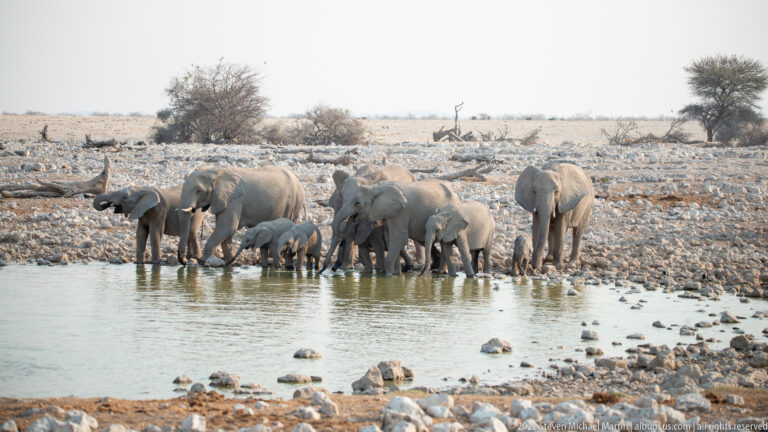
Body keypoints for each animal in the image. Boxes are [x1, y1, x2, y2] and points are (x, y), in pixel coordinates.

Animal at [331, 179, 460, 275]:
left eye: (357, 203)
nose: (352, 218)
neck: (376, 187)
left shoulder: (401, 212)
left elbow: (398, 239)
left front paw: (388, 275)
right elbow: (390, 239)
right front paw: (396, 274)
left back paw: (440, 272)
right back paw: (438, 271)